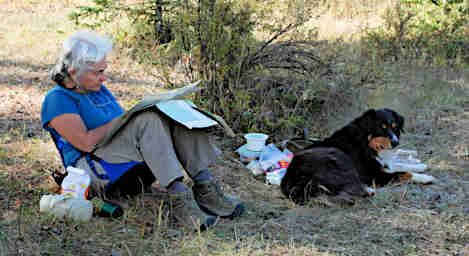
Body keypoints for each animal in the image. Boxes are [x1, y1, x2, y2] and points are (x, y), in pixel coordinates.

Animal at [278, 108, 406, 204]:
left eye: (394, 127)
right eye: (381, 127)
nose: (395, 143)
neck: (365, 142)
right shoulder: (374, 175)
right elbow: (404, 173)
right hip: (338, 157)